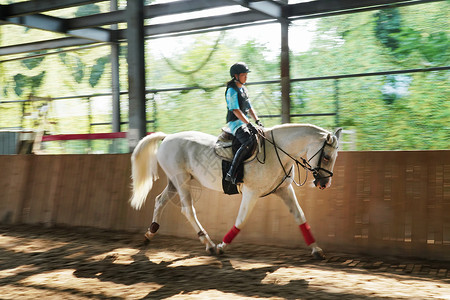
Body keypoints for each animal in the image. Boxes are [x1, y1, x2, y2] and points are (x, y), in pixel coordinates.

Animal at [130, 123, 342, 258]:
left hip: (175, 181)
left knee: (159, 200)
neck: (276, 152)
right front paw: (222, 247)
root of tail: (167, 137)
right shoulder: (251, 193)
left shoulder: (284, 189)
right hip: (181, 181)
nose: (324, 183)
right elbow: (241, 220)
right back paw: (209, 245)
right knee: (188, 210)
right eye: (326, 157)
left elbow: (300, 217)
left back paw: (149, 235)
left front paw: (316, 250)